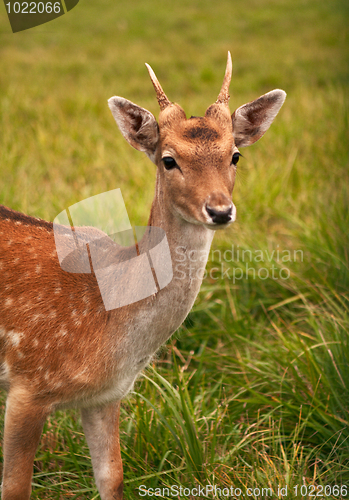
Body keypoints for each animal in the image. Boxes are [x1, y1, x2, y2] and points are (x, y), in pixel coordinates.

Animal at [0, 52, 286, 498]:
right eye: (169, 159)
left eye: (235, 155)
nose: (220, 210)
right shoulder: (27, 385)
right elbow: (15, 488)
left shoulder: (105, 396)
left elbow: (112, 477)